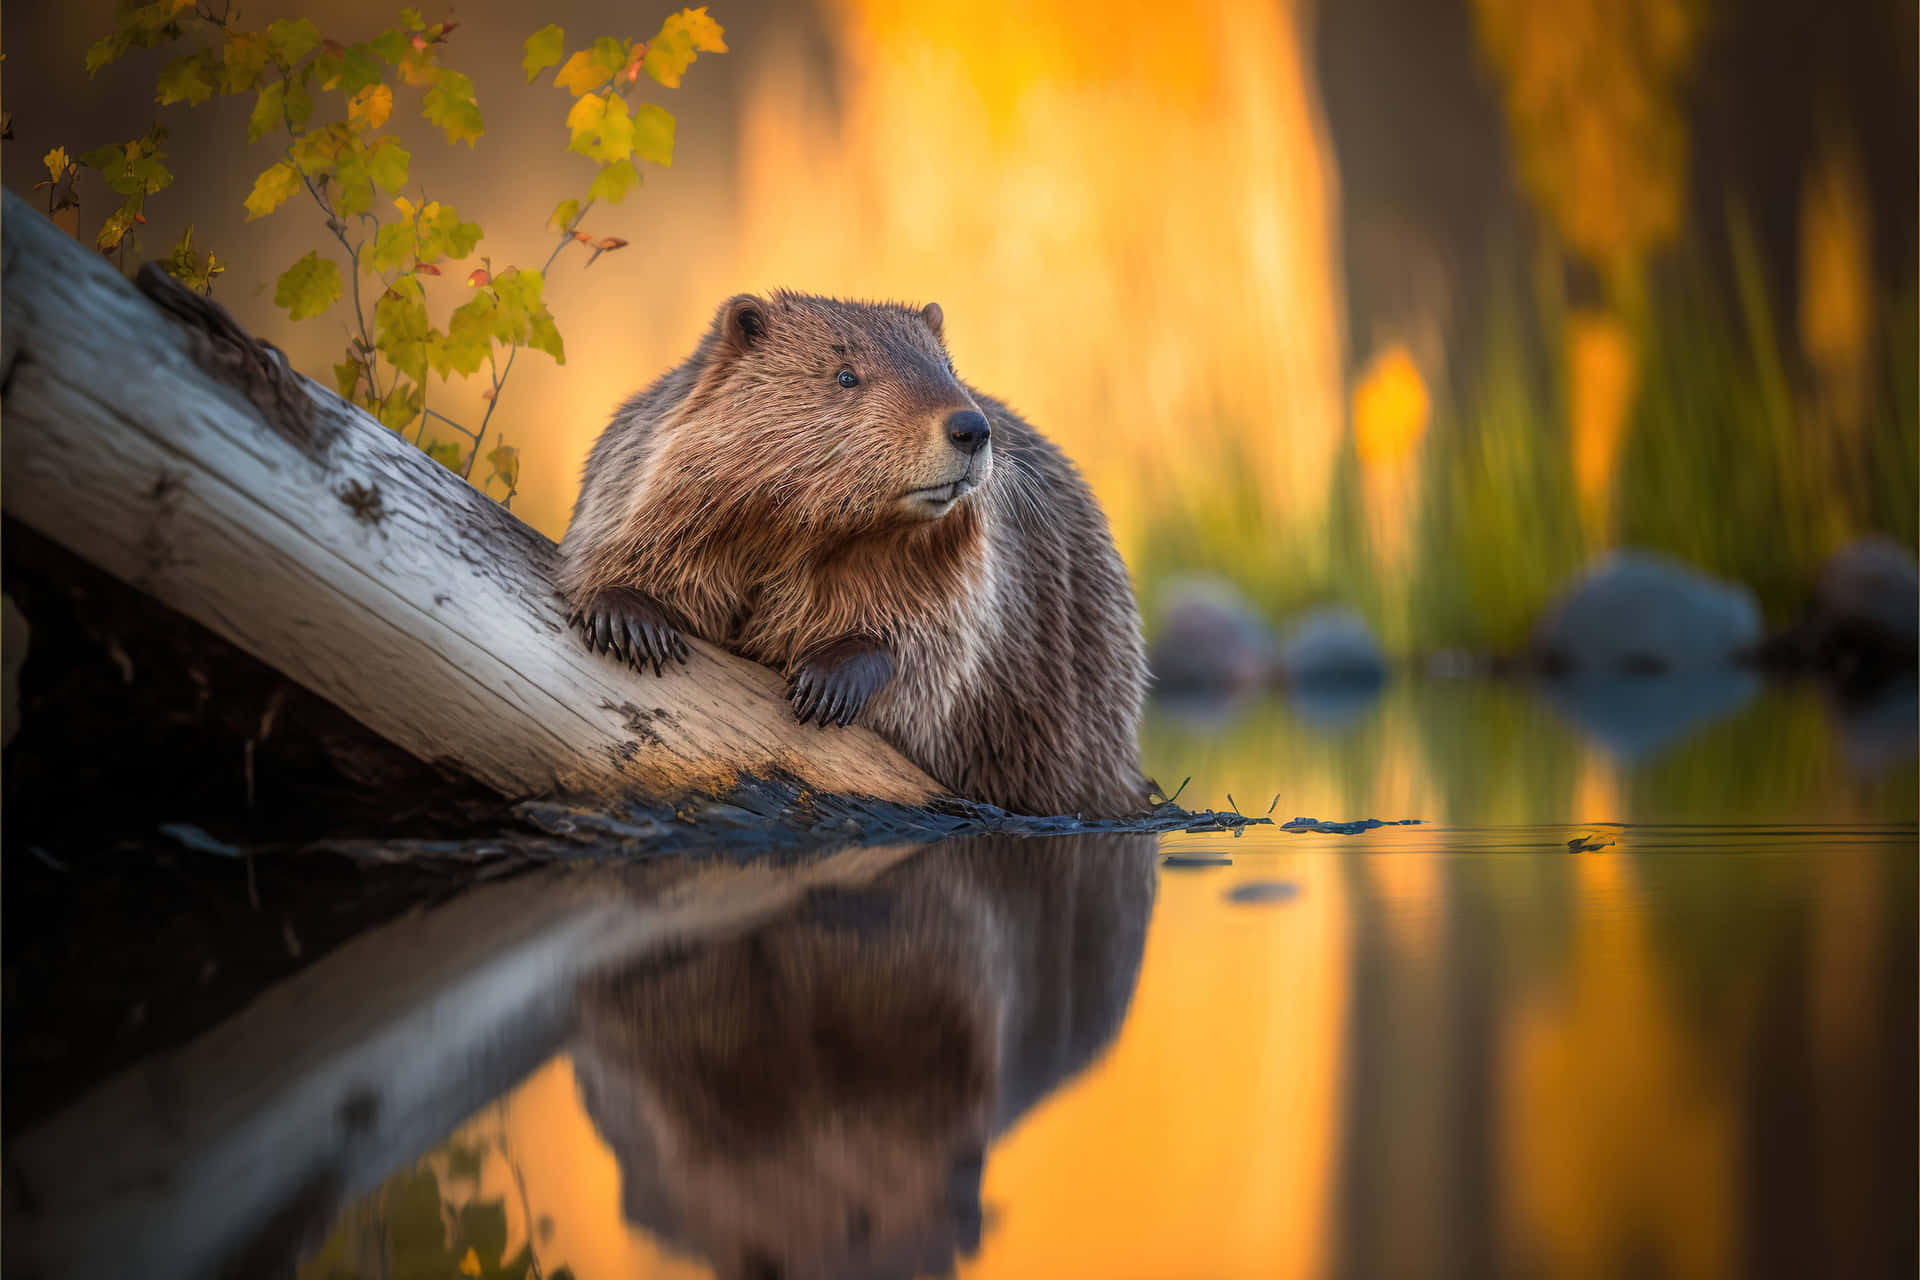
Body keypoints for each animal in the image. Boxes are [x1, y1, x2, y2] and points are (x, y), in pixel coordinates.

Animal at [560, 291, 1152, 817]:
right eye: (846, 376)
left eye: (949, 369)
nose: (971, 428)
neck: (811, 537)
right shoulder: (645, 472)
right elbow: (619, 544)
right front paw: (629, 621)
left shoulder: (961, 572)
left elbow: (929, 649)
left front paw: (829, 680)